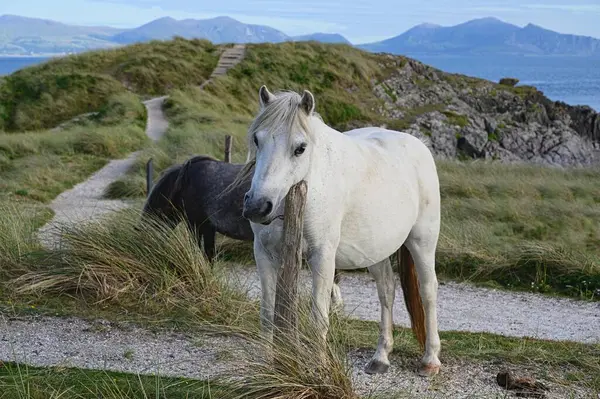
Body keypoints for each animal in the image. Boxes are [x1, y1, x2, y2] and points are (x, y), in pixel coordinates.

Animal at [238, 85, 440, 378]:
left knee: (428, 291)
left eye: (300, 148)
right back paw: (381, 356)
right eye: (257, 139)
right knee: (386, 291)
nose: (257, 206)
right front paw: (266, 366)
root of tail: (418, 146)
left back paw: (430, 359)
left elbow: (319, 318)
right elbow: (267, 313)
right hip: (377, 250)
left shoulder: (322, 257)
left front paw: (319, 369)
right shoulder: (264, 254)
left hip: (422, 241)